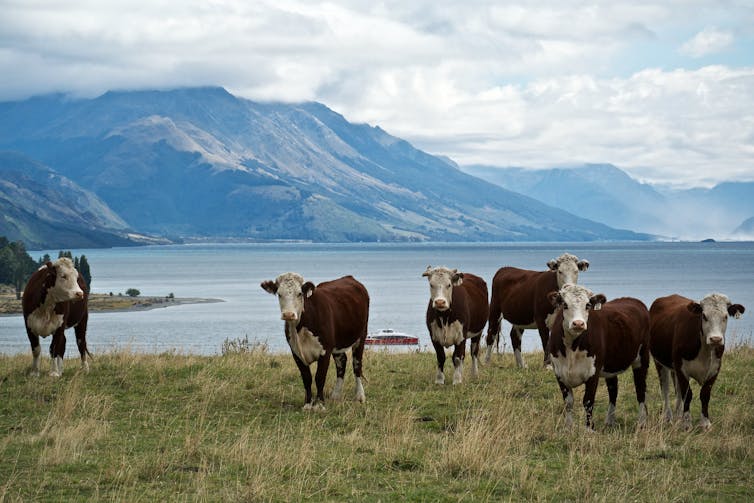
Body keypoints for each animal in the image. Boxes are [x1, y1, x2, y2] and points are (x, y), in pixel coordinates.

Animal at [260, 274, 368, 412]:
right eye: (279, 294)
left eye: (299, 293)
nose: (288, 314)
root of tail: (349, 277)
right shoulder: (295, 352)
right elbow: (306, 377)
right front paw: (307, 404)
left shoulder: (325, 350)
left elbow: (319, 377)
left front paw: (319, 404)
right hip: (338, 343)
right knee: (341, 363)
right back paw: (335, 395)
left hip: (361, 336)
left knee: (357, 365)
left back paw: (360, 396)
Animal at [544, 286, 648, 432]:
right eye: (565, 304)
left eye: (587, 305)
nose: (578, 323)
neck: (572, 348)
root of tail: (633, 300)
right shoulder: (559, 373)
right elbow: (568, 402)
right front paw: (568, 428)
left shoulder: (593, 372)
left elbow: (588, 401)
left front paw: (589, 429)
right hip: (611, 365)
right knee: (613, 390)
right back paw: (609, 421)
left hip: (642, 358)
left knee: (640, 389)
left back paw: (642, 423)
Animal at [644, 294, 744, 432]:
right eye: (704, 316)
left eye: (725, 316)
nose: (716, 339)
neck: (705, 351)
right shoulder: (681, 369)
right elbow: (687, 394)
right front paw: (686, 423)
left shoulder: (714, 370)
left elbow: (704, 395)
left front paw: (705, 423)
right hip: (659, 361)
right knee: (665, 389)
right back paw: (668, 417)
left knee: (677, 391)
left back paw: (678, 415)